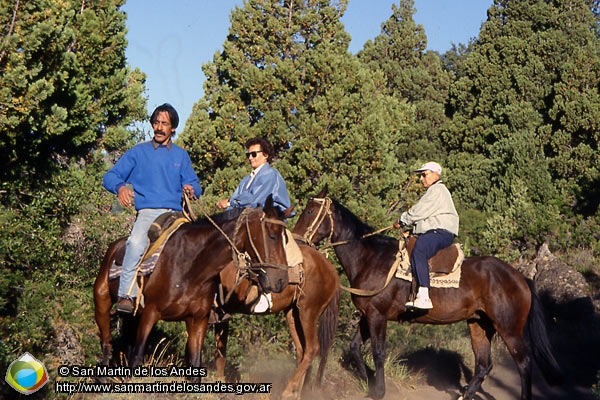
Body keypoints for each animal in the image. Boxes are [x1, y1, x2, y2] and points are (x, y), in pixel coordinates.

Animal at [94, 195, 290, 370]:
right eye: (272, 236)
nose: (282, 280)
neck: (191, 267)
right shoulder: (150, 313)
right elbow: (136, 356)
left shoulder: (198, 320)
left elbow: (195, 363)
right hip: (103, 305)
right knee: (107, 345)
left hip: (132, 317)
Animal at [213, 242, 340, 398]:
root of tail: (333, 271)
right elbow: (220, 353)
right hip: (293, 314)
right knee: (302, 350)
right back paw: (296, 393)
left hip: (308, 312)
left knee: (312, 349)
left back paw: (287, 391)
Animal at [292, 188, 560, 400]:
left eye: (309, 211)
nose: (297, 240)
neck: (370, 258)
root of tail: (519, 277)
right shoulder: (367, 315)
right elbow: (355, 348)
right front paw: (369, 382)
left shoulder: (378, 316)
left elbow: (378, 352)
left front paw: (379, 390)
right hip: (479, 324)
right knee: (484, 364)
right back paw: (464, 395)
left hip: (509, 327)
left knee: (523, 362)